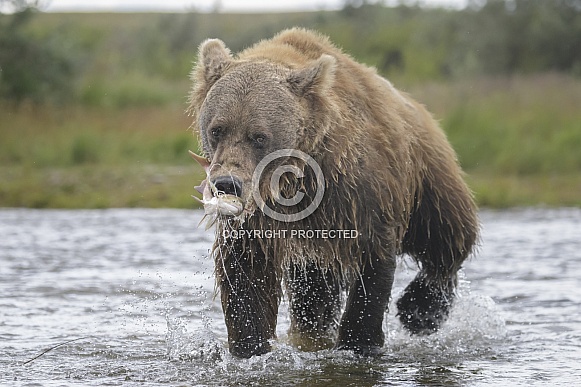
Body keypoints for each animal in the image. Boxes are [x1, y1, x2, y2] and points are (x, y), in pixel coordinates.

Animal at [188, 28, 478, 360]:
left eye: (258, 136)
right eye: (217, 129)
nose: (227, 183)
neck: (294, 179)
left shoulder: (357, 191)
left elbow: (372, 260)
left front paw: (359, 342)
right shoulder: (258, 219)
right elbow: (246, 272)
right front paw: (249, 346)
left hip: (427, 177)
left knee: (444, 237)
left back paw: (419, 311)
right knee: (313, 292)